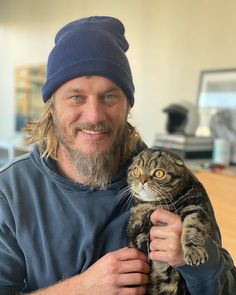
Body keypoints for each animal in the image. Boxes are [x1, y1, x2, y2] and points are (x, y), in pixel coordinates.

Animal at [126, 149, 217, 294]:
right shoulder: (136, 227)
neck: (161, 204)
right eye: (136, 171)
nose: (142, 181)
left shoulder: (195, 207)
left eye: (159, 173)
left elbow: (193, 228)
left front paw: (194, 251)